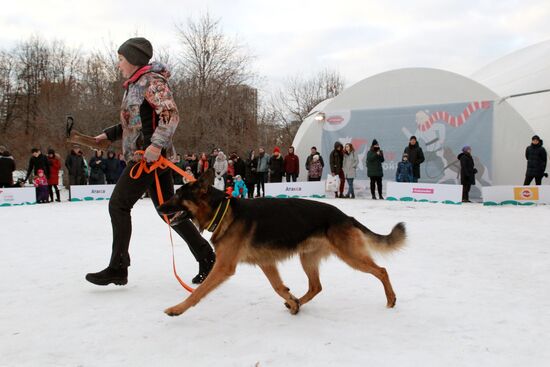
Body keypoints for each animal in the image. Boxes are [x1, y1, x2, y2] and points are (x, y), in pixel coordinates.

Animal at [157, 171, 408, 318]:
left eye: (178, 196)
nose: (159, 207)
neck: (223, 211)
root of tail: (345, 216)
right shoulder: (266, 263)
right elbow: (278, 287)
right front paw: (292, 301)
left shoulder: (224, 267)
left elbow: (199, 292)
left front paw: (177, 309)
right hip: (307, 258)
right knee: (316, 287)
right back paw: (297, 303)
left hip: (351, 256)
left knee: (381, 270)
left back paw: (391, 299)